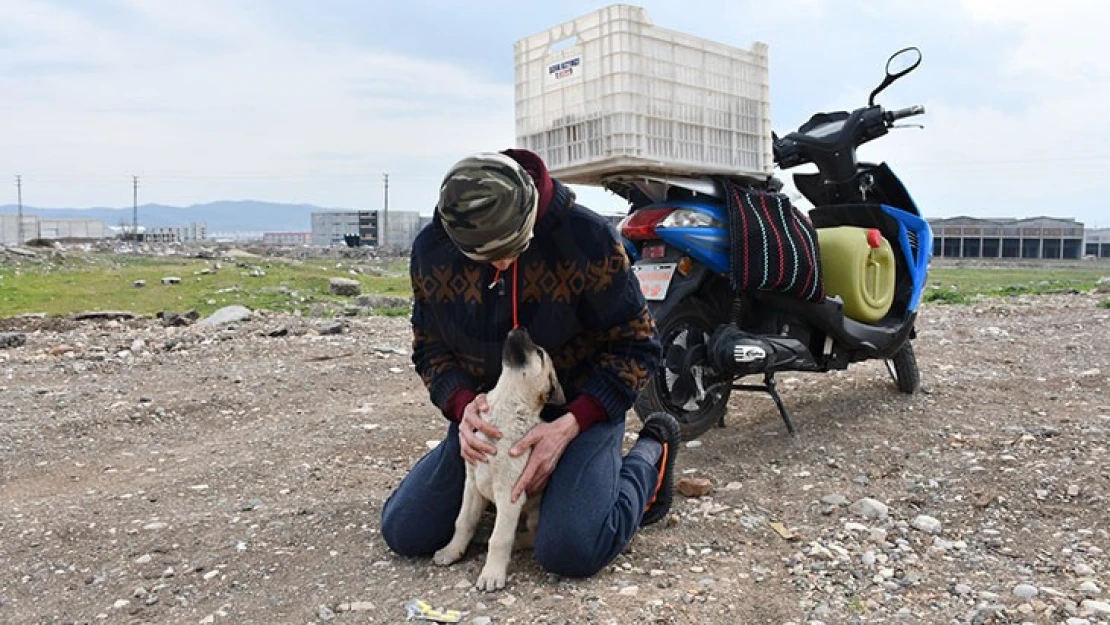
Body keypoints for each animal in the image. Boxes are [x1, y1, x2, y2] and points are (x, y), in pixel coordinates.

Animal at [432, 328, 563, 590]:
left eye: (539, 353)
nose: (520, 328)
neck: (506, 406)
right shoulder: (472, 486)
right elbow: (463, 522)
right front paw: (451, 551)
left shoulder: (510, 495)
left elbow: (500, 538)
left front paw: (492, 574)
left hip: (534, 515)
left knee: (530, 536)